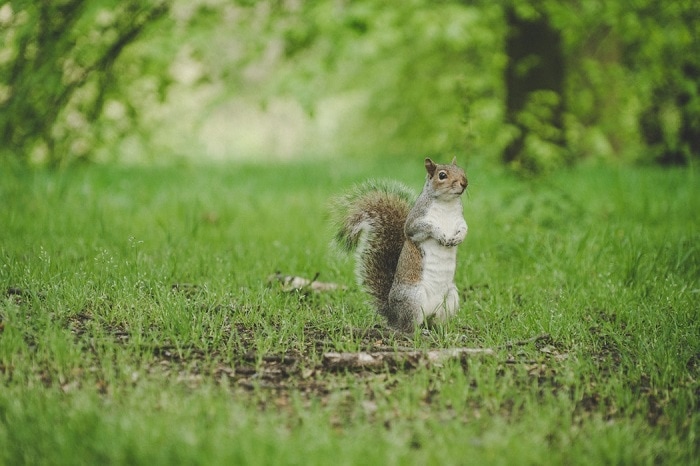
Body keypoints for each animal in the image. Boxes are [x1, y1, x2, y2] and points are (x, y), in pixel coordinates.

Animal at [332, 158, 468, 332]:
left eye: (462, 170)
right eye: (442, 175)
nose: (464, 183)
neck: (447, 204)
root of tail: (393, 316)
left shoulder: (460, 220)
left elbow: (464, 229)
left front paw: (458, 238)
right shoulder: (414, 223)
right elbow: (425, 228)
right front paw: (441, 235)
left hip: (450, 298)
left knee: (434, 321)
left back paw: (442, 330)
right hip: (413, 299)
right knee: (408, 327)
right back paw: (420, 331)